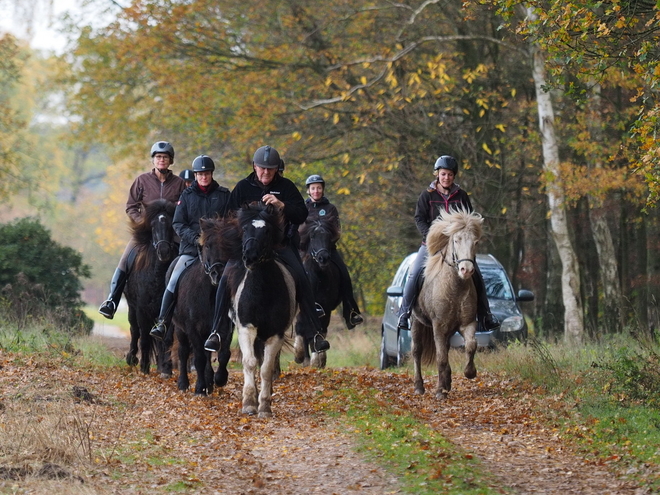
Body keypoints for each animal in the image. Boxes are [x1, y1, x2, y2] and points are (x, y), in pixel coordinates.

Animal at [122, 200, 177, 374]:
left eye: (171, 225)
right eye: (152, 226)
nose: (164, 252)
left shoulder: (167, 311)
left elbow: (166, 339)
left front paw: (166, 369)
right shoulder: (141, 309)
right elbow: (144, 338)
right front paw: (144, 367)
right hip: (132, 308)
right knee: (135, 331)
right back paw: (132, 358)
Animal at [165, 219, 235, 398]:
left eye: (229, 245)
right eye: (208, 246)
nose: (218, 273)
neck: (210, 293)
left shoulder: (226, 327)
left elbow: (223, 353)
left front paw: (220, 379)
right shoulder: (192, 328)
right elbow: (199, 358)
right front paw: (200, 389)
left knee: (208, 352)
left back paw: (210, 382)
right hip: (180, 328)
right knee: (183, 352)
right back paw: (184, 383)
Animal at [217, 202, 296, 418]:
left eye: (267, 231)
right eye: (245, 229)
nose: (250, 256)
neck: (262, 291)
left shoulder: (275, 334)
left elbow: (266, 368)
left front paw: (265, 407)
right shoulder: (246, 328)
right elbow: (250, 362)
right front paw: (249, 404)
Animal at [296, 217, 342, 368]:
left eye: (328, 237)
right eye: (312, 236)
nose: (323, 258)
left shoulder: (326, 308)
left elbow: (321, 328)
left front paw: (318, 358)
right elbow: (302, 327)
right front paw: (300, 354)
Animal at [412, 207, 484, 402]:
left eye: (475, 242)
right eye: (456, 240)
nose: (466, 270)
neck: (455, 287)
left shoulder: (468, 323)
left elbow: (471, 345)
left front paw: (469, 373)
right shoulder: (438, 326)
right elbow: (441, 358)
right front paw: (439, 391)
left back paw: (447, 382)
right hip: (415, 322)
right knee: (417, 351)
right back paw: (419, 387)